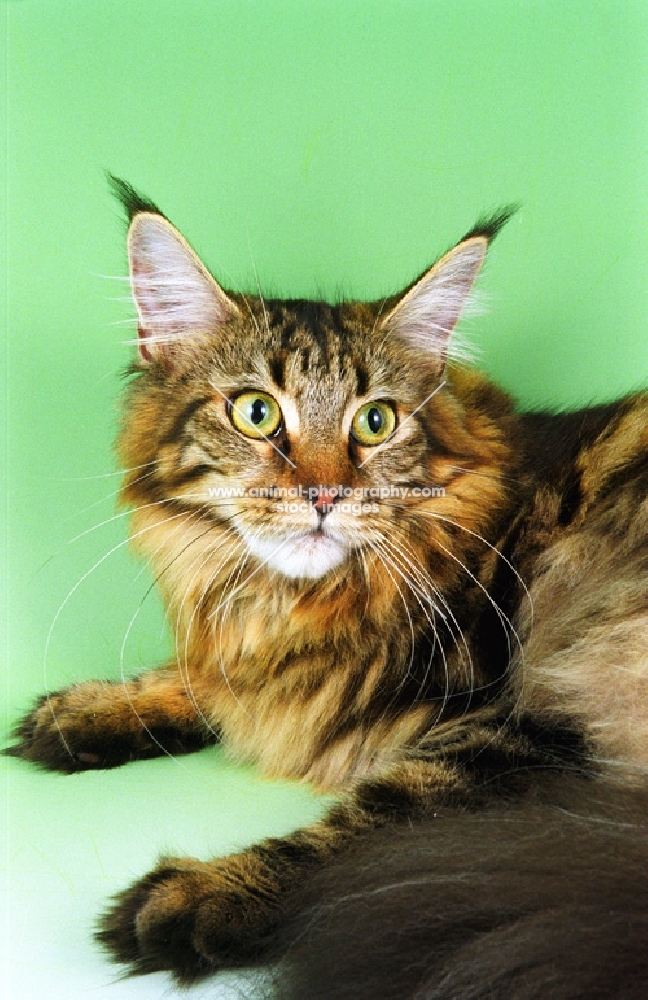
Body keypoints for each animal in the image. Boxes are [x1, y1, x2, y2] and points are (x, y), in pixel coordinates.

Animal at [6, 178, 648, 984]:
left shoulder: (532, 723)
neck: (302, 607)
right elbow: (202, 679)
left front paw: (207, 891)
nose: (323, 494)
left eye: (375, 422)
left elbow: (365, 829)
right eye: (255, 413)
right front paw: (91, 708)